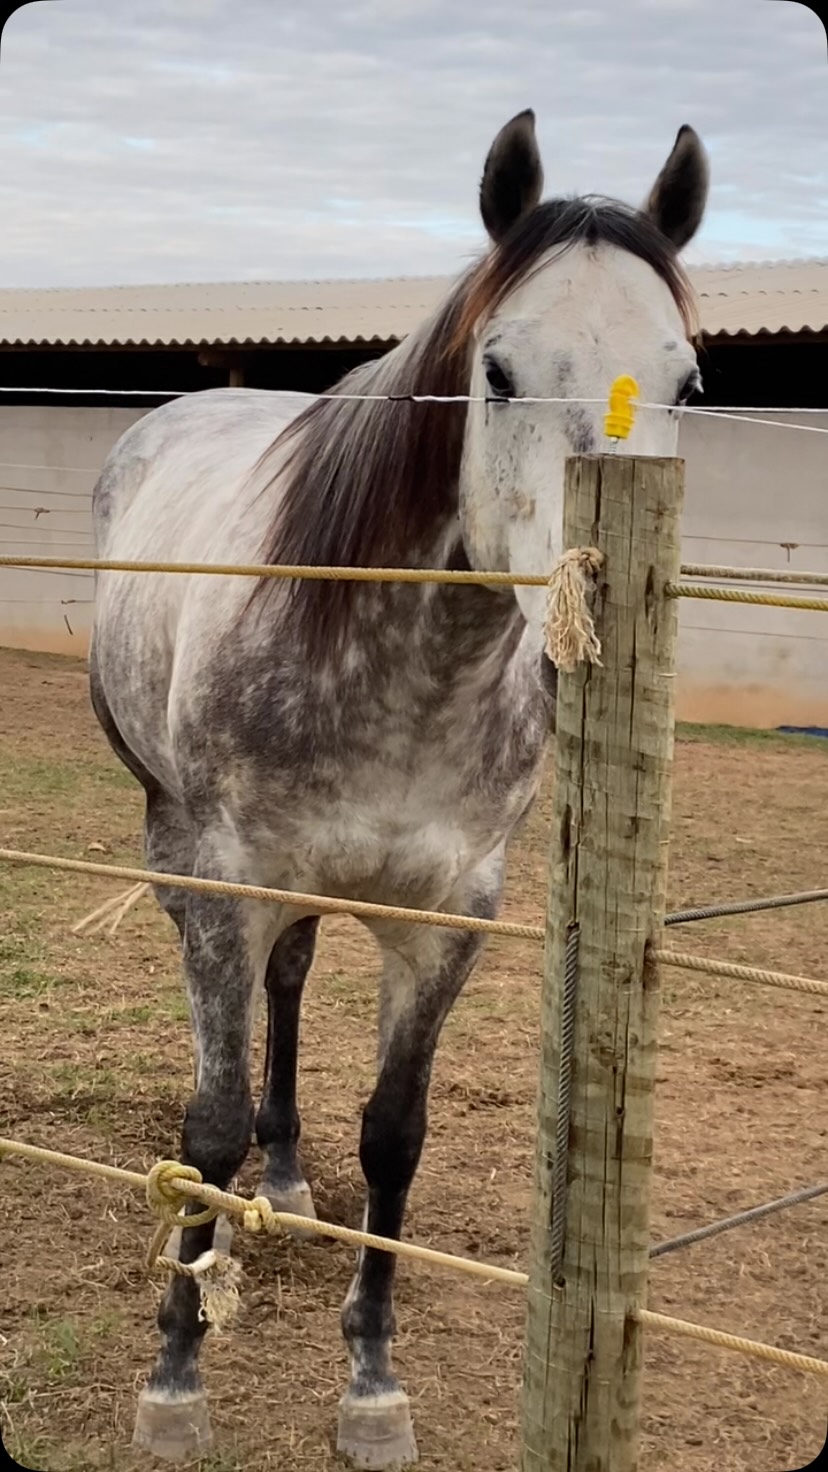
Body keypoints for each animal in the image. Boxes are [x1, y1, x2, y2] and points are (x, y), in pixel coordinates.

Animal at [88, 109, 708, 1469]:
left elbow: (394, 1133)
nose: (579, 637)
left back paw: (283, 1180)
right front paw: (176, 1367)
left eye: (687, 382)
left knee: (293, 977)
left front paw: (371, 1380)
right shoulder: (226, 888)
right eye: (499, 372)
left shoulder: (448, 916)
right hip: (181, 848)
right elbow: (205, 1120)